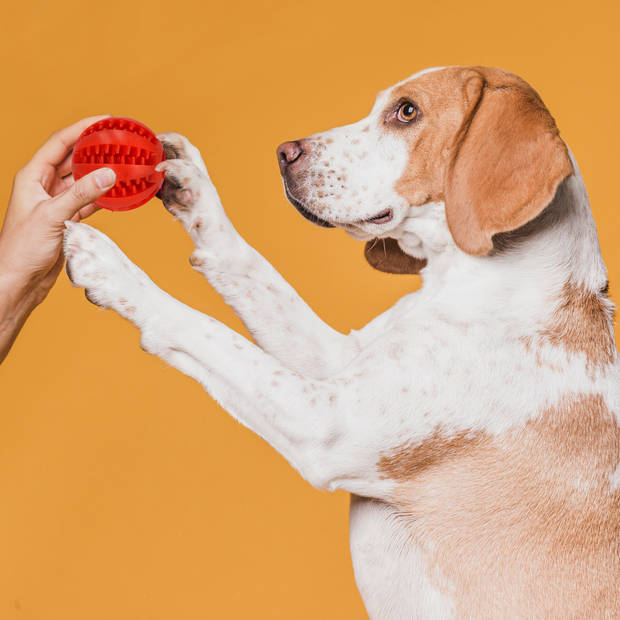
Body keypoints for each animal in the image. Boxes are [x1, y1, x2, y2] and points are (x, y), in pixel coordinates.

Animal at [64, 65, 620, 616]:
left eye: (406, 111)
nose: (284, 152)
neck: (483, 281)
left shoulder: (323, 422)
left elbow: (202, 329)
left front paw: (112, 267)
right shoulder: (336, 357)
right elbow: (246, 266)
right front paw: (192, 185)